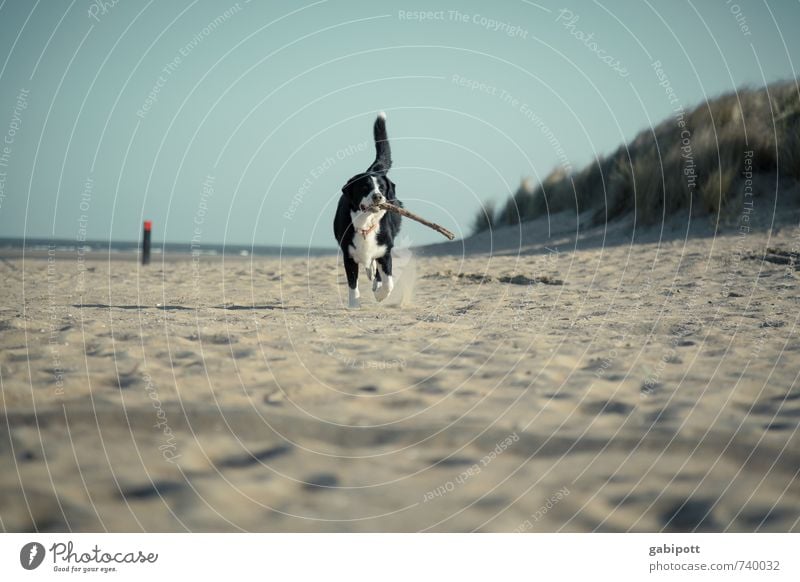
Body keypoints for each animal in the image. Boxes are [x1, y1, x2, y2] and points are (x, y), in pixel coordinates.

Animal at [334, 111, 404, 308]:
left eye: (381, 188)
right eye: (365, 188)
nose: (378, 196)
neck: (365, 224)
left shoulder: (385, 251)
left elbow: (388, 282)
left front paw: (380, 295)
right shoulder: (348, 254)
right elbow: (352, 283)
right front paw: (354, 304)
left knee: (376, 270)